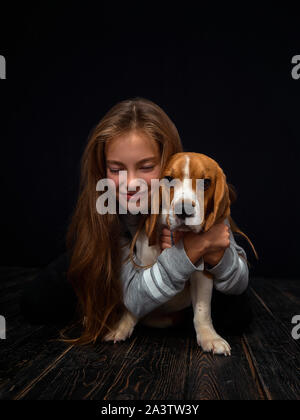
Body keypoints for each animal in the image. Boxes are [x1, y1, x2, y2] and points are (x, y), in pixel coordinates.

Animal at [104, 153, 250, 356]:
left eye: (206, 183)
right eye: (168, 179)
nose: (184, 210)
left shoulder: (202, 274)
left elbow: (202, 310)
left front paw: (209, 337)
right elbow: (132, 305)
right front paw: (121, 327)